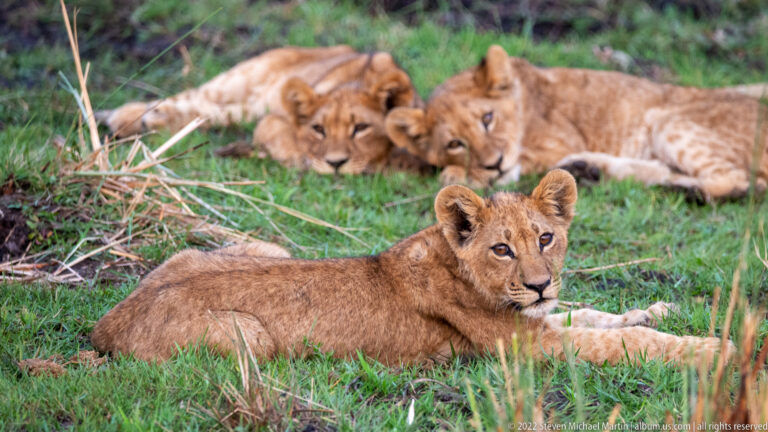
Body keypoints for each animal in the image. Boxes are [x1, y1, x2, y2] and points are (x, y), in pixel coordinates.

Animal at [91, 170, 731, 366]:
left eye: (546, 238)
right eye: (502, 249)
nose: (540, 283)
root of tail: (105, 322)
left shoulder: (541, 320)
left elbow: (595, 314)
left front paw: (658, 307)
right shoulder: (527, 349)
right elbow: (622, 342)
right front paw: (716, 350)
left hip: (264, 246)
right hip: (253, 339)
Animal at [97, 45, 430, 175]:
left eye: (361, 128)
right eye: (318, 129)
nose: (335, 163)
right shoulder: (273, 119)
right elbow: (283, 138)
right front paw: (303, 159)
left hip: (239, 109)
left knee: (206, 114)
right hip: (239, 81)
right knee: (192, 98)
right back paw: (119, 117)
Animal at [385, 44, 768, 199]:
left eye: (488, 119)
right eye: (455, 143)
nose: (495, 164)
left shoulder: (557, 142)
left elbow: (518, 161)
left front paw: (462, 174)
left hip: (669, 121)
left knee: (739, 179)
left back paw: (691, 192)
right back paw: (589, 170)